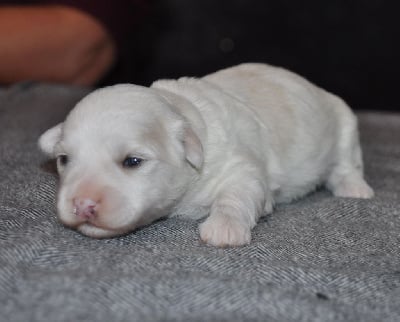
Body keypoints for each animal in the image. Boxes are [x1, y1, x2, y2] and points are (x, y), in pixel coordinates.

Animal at [39, 64, 374, 248]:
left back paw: (355, 188)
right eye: (64, 160)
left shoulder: (241, 166)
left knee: (347, 163)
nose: (82, 204)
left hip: (344, 123)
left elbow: (238, 193)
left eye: (132, 161)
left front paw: (224, 228)